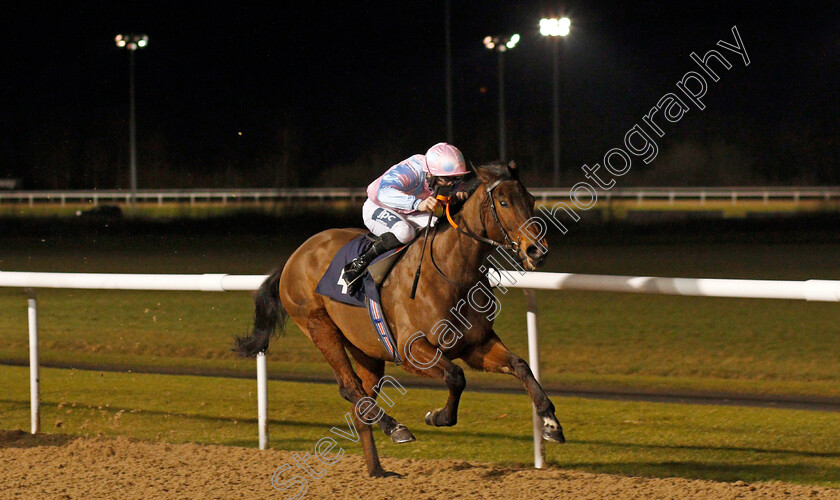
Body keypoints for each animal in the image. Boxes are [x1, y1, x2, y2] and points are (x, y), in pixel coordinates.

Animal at [235, 161, 564, 476]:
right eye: (504, 202)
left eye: (531, 200)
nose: (537, 250)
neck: (453, 274)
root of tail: (294, 257)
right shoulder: (411, 351)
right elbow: (455, 376)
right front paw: (438, 416)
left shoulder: (476, 345)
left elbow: (520, 365)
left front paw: (550, 422)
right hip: (319, 326)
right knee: (350, 388)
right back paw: (395, 428)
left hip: (365, 348)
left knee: (362, 402)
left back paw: (378, 469)